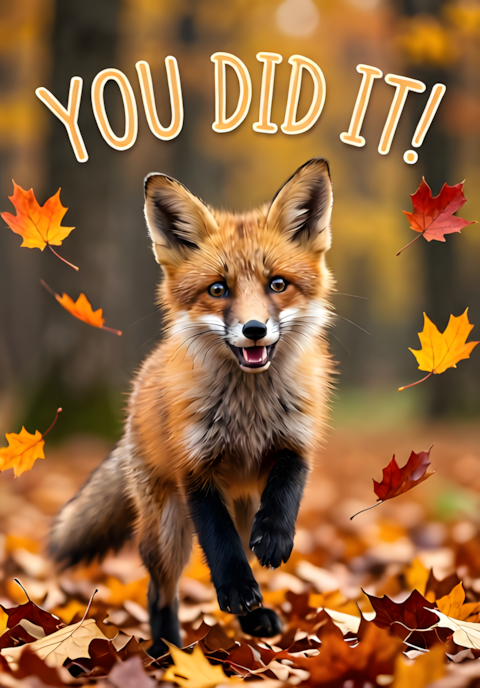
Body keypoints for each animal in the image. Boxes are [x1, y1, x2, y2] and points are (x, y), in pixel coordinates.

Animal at [49, 157, 335, 657]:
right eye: (218, 289)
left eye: (277, 284)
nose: (255, 329)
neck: (249, 412)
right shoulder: (195, 468)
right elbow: (220, 544)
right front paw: (235, 589)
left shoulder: (296, 441)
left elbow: (286, 493)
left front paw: (275, 541)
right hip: (167, 531)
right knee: (159, 590)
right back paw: (165, 651)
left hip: (239, 506)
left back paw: (254, 617)